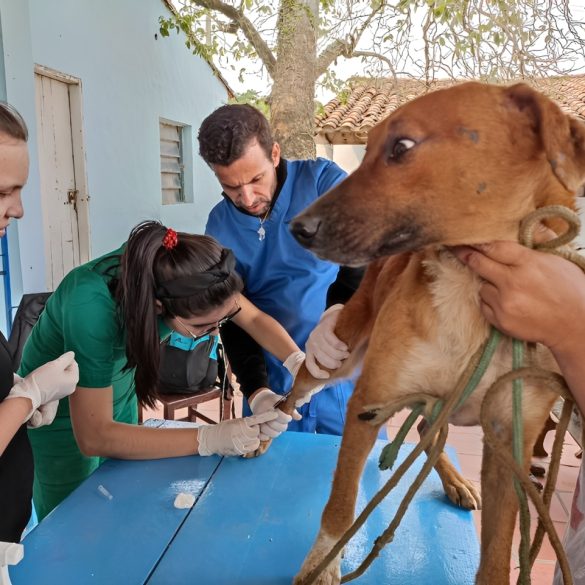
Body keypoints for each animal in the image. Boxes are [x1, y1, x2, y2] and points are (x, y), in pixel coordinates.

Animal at [281, 82, 585, 585]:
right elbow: (339, 509)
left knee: (426, 424)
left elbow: (496, 556)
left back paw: (456, 480)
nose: (295, 228)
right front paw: (319, 566)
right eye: (366, 148)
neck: (470, 289)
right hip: (340, 353)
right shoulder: (370, 404)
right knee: (297, 392)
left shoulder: (509, 442)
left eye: (401, 146)